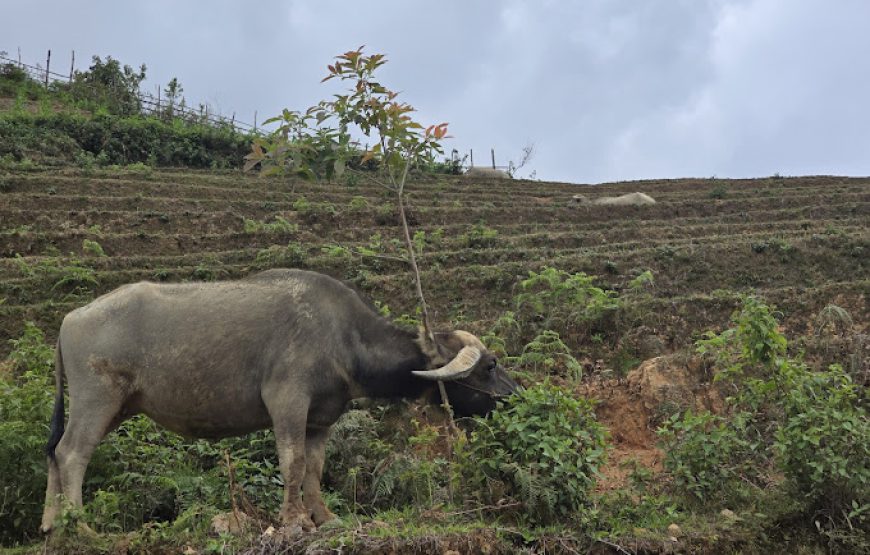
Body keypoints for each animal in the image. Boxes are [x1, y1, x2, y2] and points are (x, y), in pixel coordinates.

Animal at [41, 270, 516, 536]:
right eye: (490, 365)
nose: (513, 397)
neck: (342, 337)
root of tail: (70, 319)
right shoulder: (287, 402)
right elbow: (292, 463)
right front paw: (293, 520)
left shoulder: (321, 419)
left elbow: (314, 469)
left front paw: (323, 517)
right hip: (97, 400)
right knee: (71, 454)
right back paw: (81, 527)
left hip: (114, 406)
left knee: (54, 452)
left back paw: (51, 526)